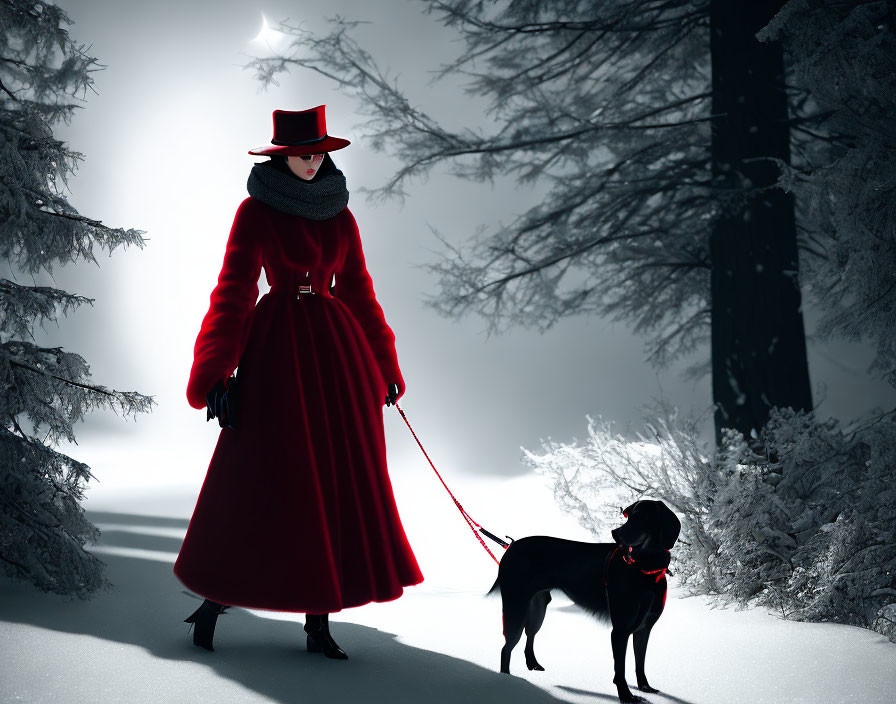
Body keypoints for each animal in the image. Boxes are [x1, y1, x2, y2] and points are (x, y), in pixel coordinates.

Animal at [490, 498, 680, 700]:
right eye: (629, 516)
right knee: (506, 648)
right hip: (515, 607)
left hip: (538, 607)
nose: (615, 533)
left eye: (641, 517)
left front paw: (645, 687)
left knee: (530, 635)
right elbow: (620, 669)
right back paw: (507, 680)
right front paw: (626, 697)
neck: (645, 569)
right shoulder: (620, 630)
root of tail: (511, 547)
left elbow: (640, 663)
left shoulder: (644, 629)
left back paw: (533, 665)